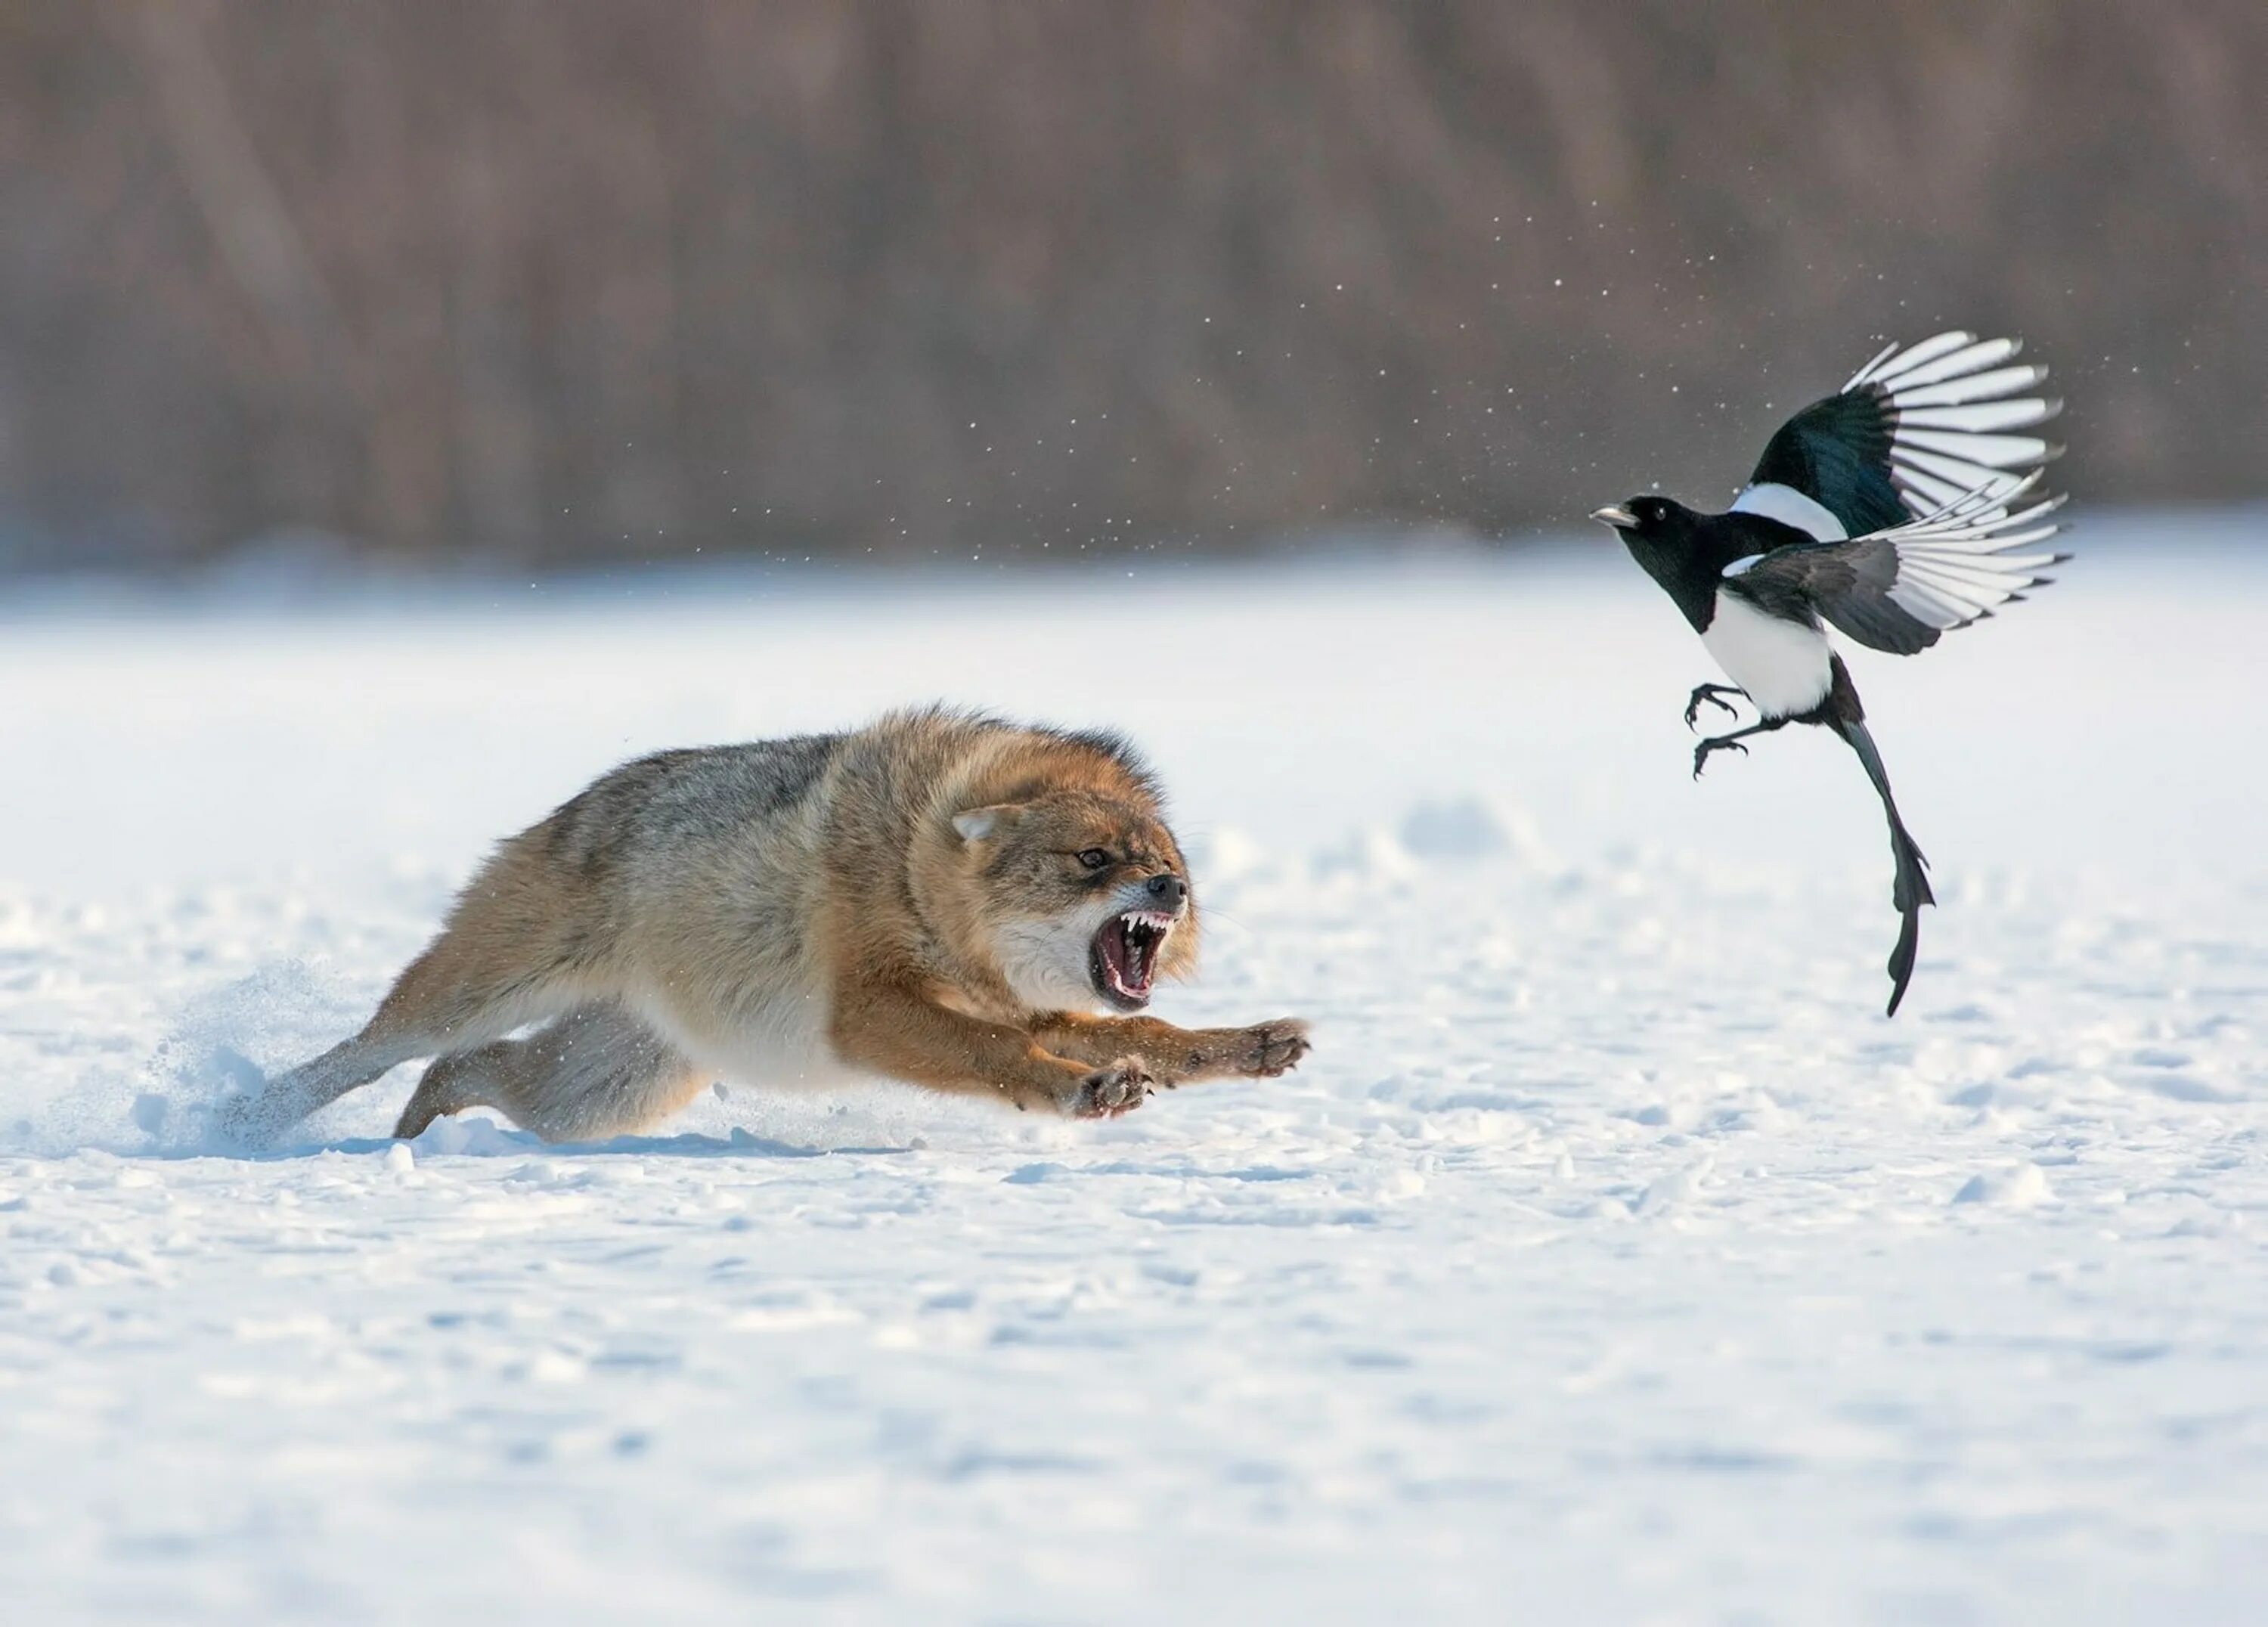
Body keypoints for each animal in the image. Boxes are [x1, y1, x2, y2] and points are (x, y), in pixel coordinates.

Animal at [223, 712, 1315, 1143]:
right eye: (1094, 861)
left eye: (1169, 861)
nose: (1171, 892)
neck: (915, 870)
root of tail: (579, 801)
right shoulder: (872, 1016)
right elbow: (1002, 1058)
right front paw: (1084, 1092)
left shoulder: (1033, 1006)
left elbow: (1156, 1036)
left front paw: (1254, 1045)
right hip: (474, 1000)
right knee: (369, 1054)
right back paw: (246, 1121)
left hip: (600, 1095)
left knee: (464, 1073)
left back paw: (408, 1145)